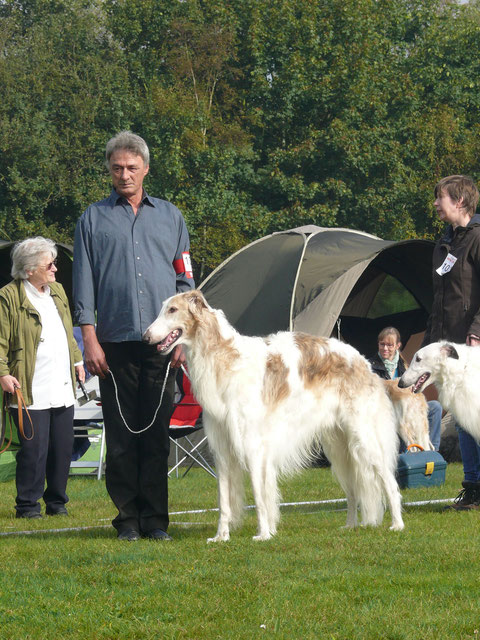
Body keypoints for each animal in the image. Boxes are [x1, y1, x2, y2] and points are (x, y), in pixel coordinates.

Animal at [143, 292, 404, 540]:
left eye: (172, 309)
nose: (145, 337)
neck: (226, 358)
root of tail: (363, 363)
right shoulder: (222, 449)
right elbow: (223, 501)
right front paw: (221, 537)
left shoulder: (253, 446)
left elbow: (259, 496)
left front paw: (264, 534)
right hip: (339, 448)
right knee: (352, 490)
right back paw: (350, 525)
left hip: (364, 437)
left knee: (390, 483)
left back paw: (397, 524)